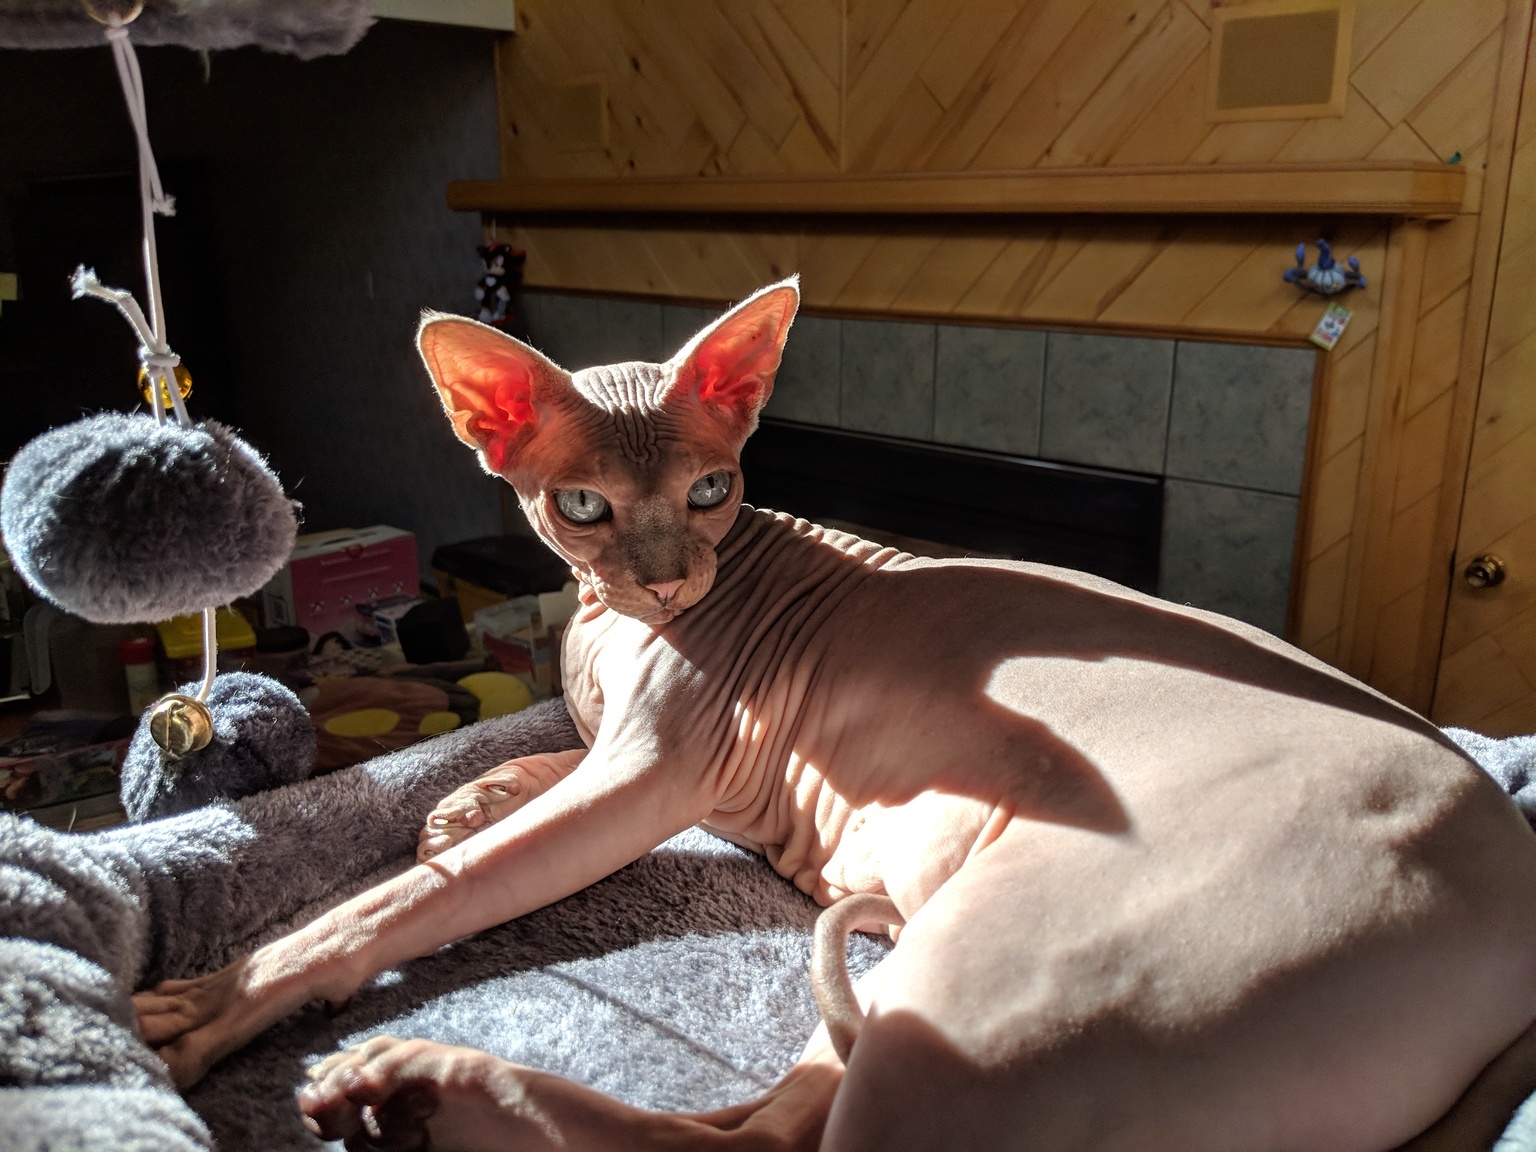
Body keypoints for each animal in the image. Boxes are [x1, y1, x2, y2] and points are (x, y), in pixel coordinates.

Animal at [138, 282, 1536, 1152]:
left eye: (712, 490)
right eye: (585, 507)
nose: (668, 579)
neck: (609, 616)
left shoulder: (650, 774)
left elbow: (394, 901)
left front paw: (210, 1006)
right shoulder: (620, 753)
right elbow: (534, 754)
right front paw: (464, 797)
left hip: (1002, 983)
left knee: (773, 1151)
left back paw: (425, 1086)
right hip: (926, 966)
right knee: (765, 1122)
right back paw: (432, 1098)